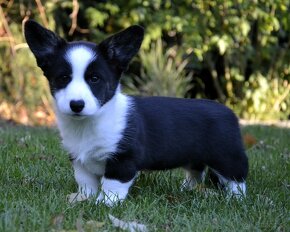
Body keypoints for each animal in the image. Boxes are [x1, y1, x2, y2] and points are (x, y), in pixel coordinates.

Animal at [24, 20, 249, 207]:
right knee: (196, 171)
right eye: (63, 78)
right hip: (195, 156)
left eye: (95, 79)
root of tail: (228, 111)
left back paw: (235, 199)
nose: (76, 105)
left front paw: (104, 204)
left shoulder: (123, 158)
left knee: (236, 178)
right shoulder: (79, 160)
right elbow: (85, 182)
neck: (88, 124)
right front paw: (84, 198)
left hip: (226, 156)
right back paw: (186, 189)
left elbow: (112, 184)